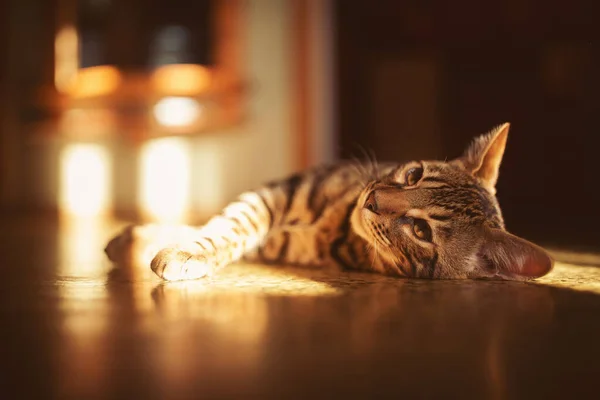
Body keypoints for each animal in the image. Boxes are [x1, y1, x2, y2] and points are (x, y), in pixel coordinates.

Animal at [105, 122, 556, 282]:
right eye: (413, 175)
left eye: (421, 230)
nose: (372, 199)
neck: (338, 223)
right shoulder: (275, 194)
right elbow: (225, 225)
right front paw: (152, 241)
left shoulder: (281, 238)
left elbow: (226, 232)